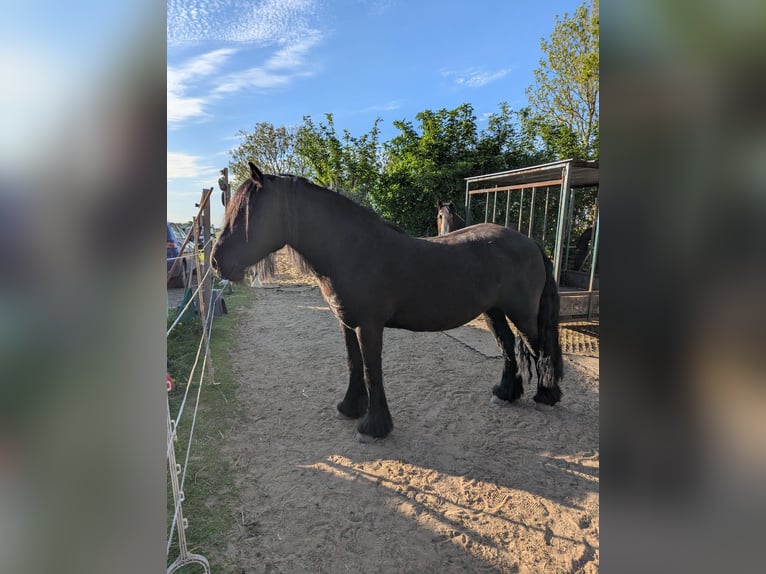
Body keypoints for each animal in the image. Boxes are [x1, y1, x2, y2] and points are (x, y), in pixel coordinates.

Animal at [212, 162, 563, 438]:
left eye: (247, 213)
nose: (216, 262)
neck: (352, 251)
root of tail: (530, 242)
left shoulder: (369, 327)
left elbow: (371, 370)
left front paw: (373, 426)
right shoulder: (346, 324)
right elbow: (354, 365)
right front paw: (350, 407)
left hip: (523, 314)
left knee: (539, 348)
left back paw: (547, 396)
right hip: (494, 312)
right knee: (508, 346)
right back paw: (505, 393)